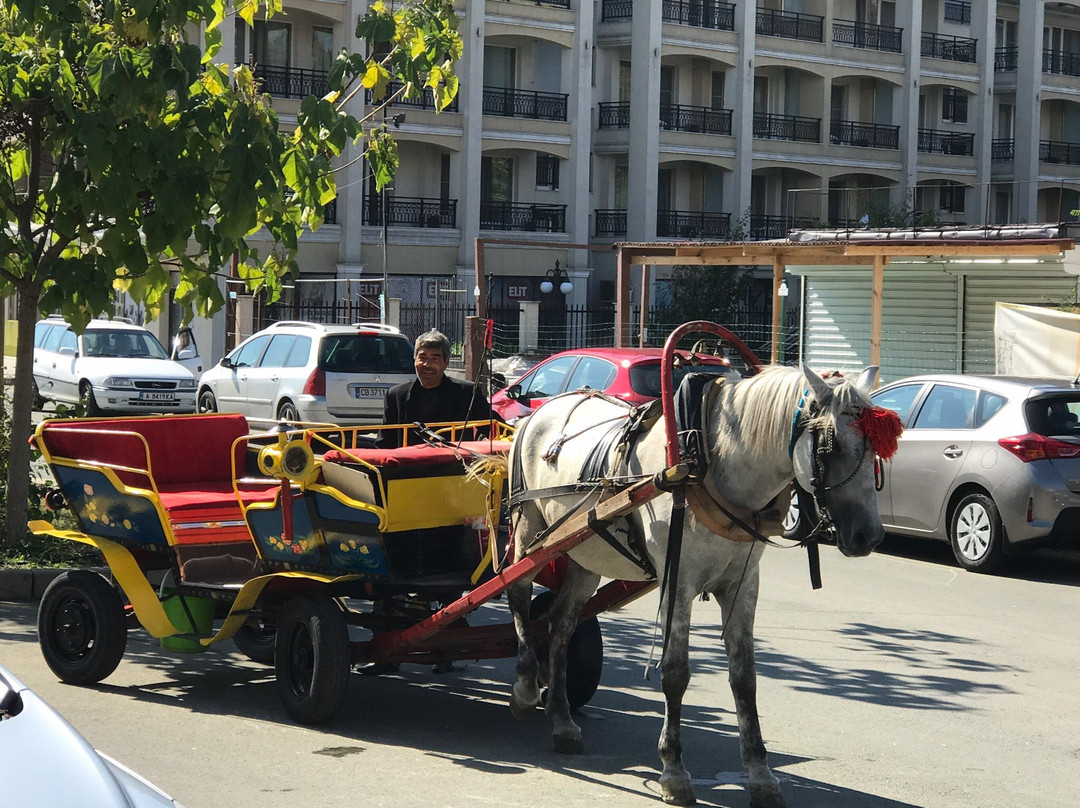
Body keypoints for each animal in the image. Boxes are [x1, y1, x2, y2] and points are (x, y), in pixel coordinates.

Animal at [505, 365, 894, 808]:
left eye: (877, 449)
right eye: (832, 446)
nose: (869, 536)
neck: (709, 459)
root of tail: (542, 409)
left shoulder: (743, 585)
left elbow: (744, 677)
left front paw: (760, 774)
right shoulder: (679, 581)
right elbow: (675, 672)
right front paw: (674, 770)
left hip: (584, 550)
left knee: (561, 624)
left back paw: (562, 719)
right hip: (529, 530)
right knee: (517, 593)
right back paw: (525, 687)